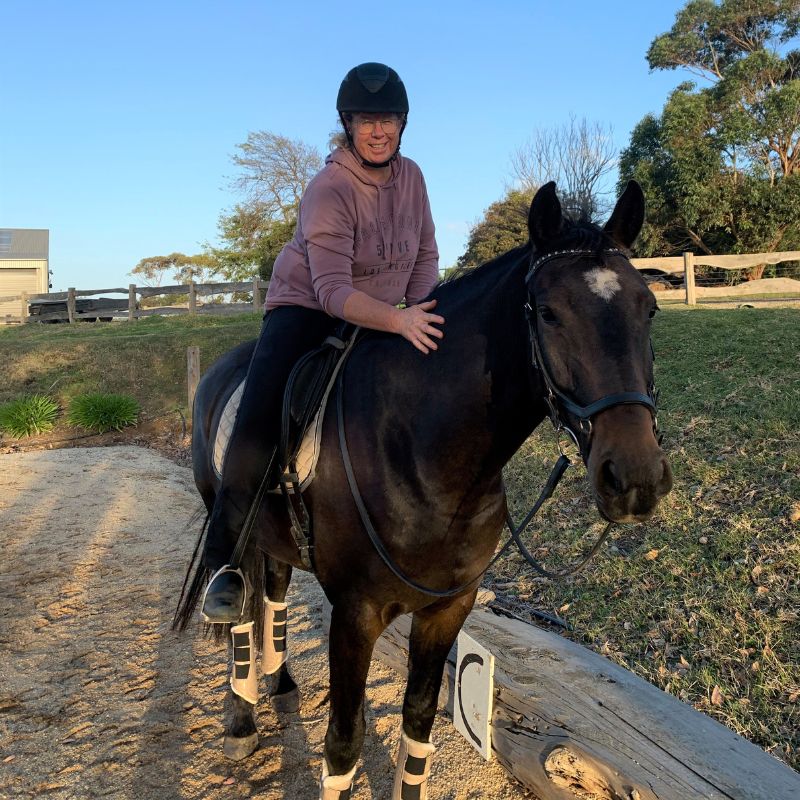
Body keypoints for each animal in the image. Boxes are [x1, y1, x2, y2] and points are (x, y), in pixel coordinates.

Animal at [174, 180, 673, 799]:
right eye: (549, 313)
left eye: (648, 309)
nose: (635, 477)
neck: (422, 452)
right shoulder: (355, 615)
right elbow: (343, 743)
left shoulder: (448, 608)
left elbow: (418, 721)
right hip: (233, 529)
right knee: (239, 607)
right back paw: (241, 722)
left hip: (276, 540)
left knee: (274, 595)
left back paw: (281, 684)